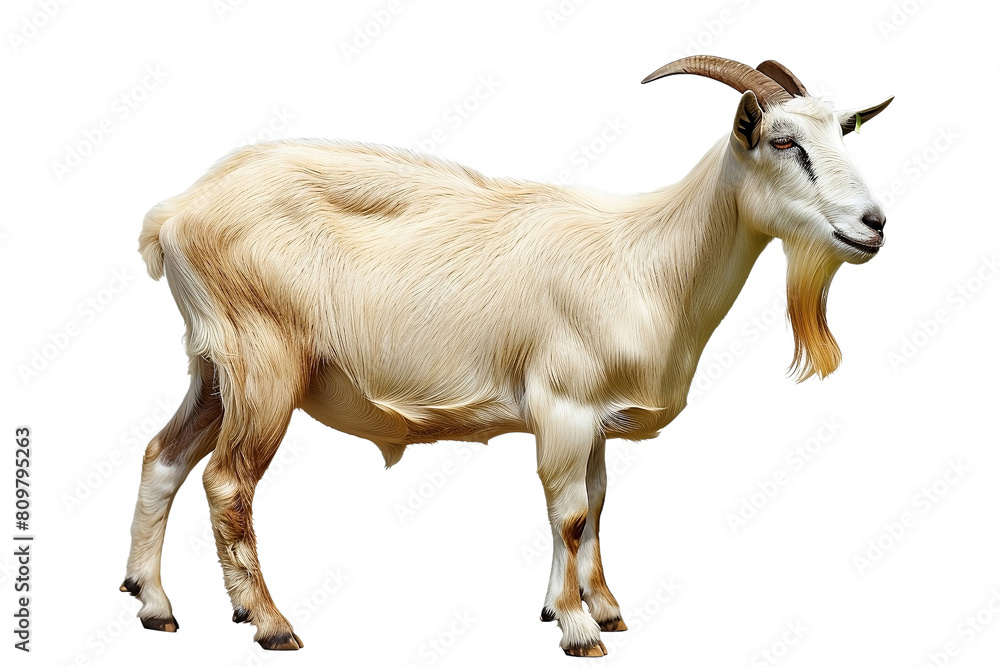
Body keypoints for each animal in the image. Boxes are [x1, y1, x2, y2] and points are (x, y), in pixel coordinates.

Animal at [122, 55, 892, 656]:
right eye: (783, 141)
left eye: (842, 133)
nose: (874, 224)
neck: (650, 261)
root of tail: (176, 212)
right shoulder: (564, 402)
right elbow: (569, 512)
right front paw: (579, 628)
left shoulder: (594, 419)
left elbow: (596, 506)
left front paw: (593, 606)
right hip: (264, 361)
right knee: (227, 482)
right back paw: (269, 621)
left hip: (213, 364)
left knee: (163, 456)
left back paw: (153, 603)